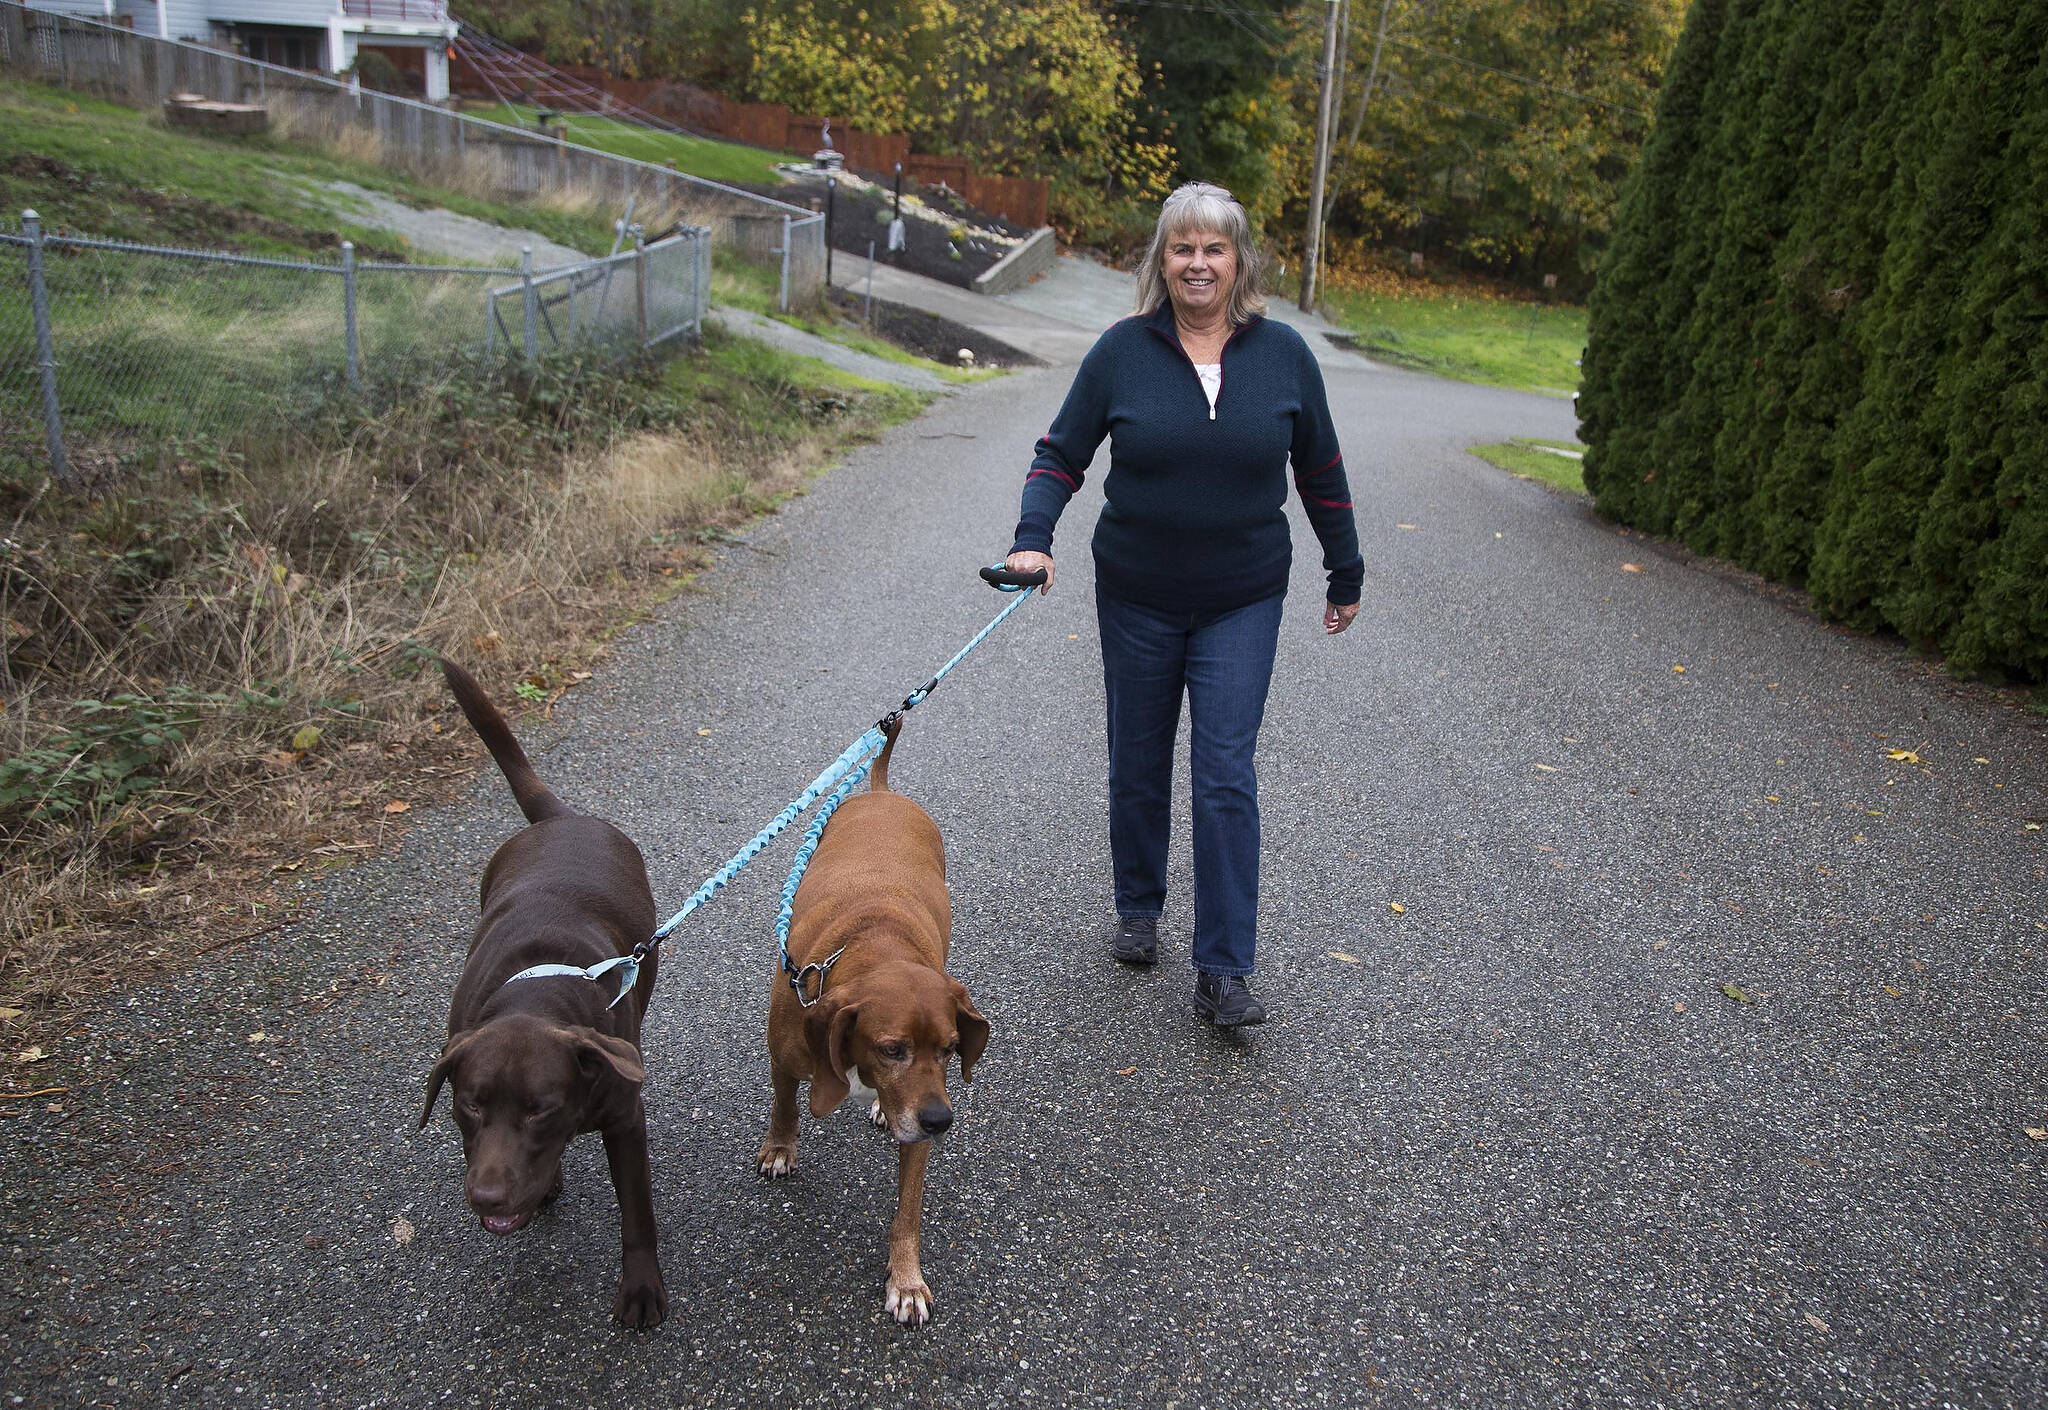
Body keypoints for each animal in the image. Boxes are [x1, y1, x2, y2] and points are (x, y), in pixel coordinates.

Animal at [419, 655, 667, 1328]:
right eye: (470, 1104)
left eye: (540, 1107)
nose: (487, 1196)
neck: (535, 998)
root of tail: (559, 817)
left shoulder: (625, 1121)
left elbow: (637, 1215)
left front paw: (641, 1287)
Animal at [765, 721, 995, 1328]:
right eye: (891, 1049)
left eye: (951, 1049)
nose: (942, 1121)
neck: (875, 944)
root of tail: (881, 792)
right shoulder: (784, 1054)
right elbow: (785, 1103)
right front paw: (780, 1146)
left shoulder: (919, 1124)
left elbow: (908, 1211)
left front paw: (906, 1280)